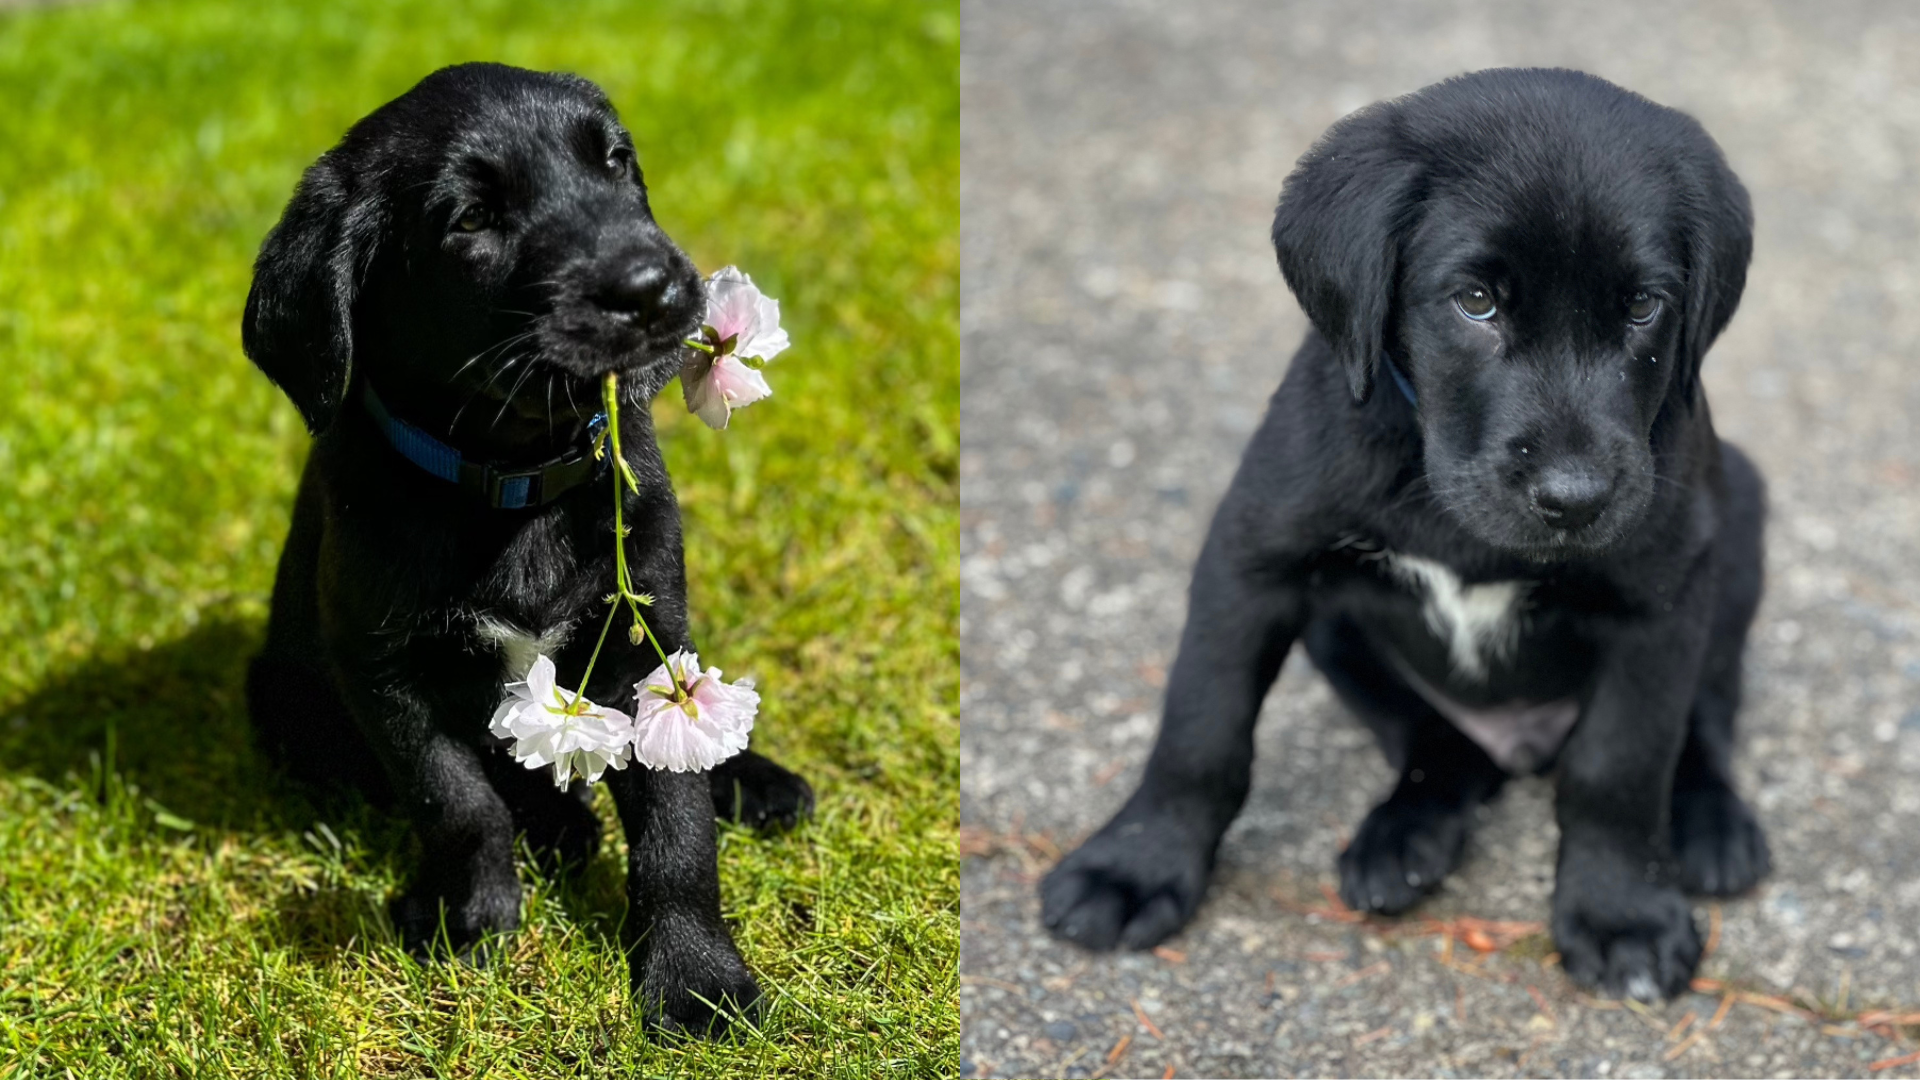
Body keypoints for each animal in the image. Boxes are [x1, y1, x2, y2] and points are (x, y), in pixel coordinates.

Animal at [241, 61, 810, 1037]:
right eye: (471, 220)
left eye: (616, 162)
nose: (654, 289)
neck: (516, 478)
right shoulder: (382, 668)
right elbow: (455, 799)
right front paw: (471, 920)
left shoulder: (644, 647)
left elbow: (678, 824)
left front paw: (697, 978)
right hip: (281, 696)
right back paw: (558, 825)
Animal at [1052, 69, 1766, 999]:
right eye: (1476, 302)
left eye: (1645, 307)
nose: (1575, 499)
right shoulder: (1251, 560)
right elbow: (1200, 729)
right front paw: (1136, 864)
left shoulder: (1662, 600)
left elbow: (1619, 766)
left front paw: (1621, 913)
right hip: (1337, 634)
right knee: (1442, 747)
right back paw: (1404, 838)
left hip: (1737, 526)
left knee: (1706, 715)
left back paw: (1711, 825)